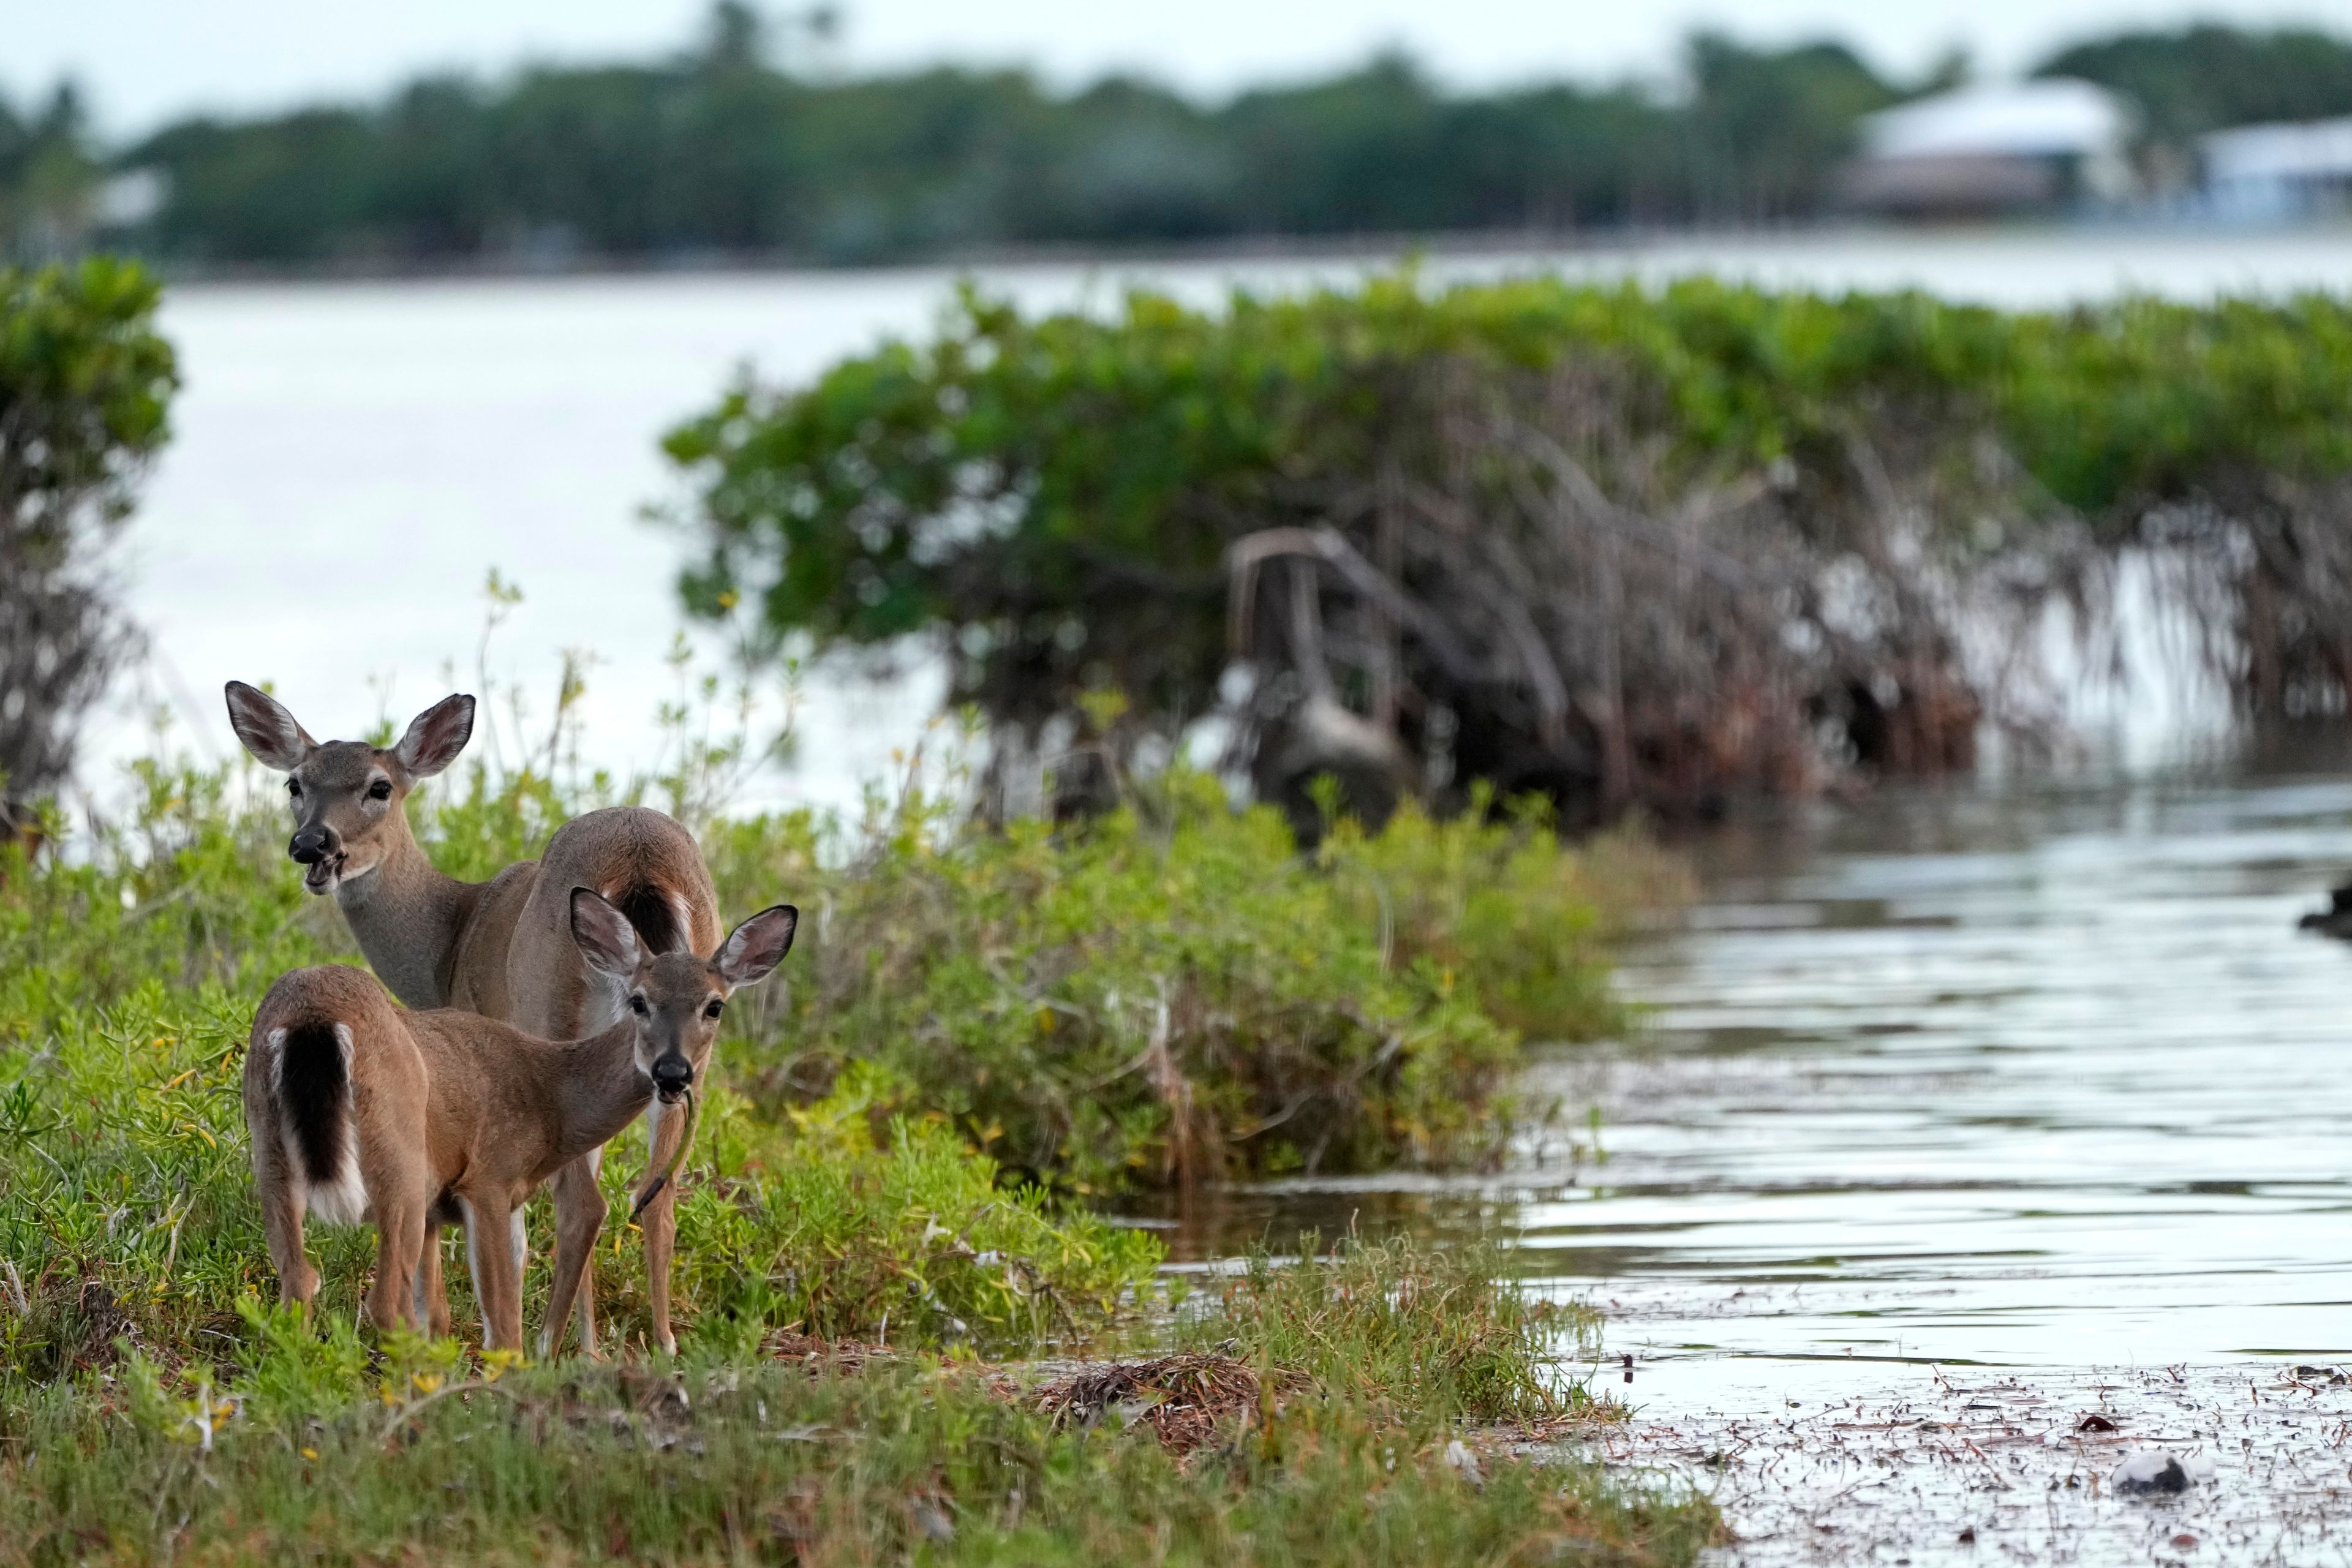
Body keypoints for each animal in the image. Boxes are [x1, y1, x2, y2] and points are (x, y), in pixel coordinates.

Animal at [234, 682, 724, 1354]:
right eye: (295, 783)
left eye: (380, 786)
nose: (314, 845)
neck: (452, 938)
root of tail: (641, 860)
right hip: (692, 1043)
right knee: (658, 1191)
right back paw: (659, 1343)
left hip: (553, 1010)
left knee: (584, 1202)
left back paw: (562, 1348)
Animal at [249, 893, 799, 1354]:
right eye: (639, 1000)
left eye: (714, 1005)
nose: (672, 1071)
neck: (549, 1099)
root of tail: (313, 1018)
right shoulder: (488, 1180)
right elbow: (503, 1330)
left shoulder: (438, 1210)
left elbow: (440, 1317)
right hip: (397, 1164)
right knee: (386, 1304)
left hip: (271, 1155)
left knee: (299, 1284)